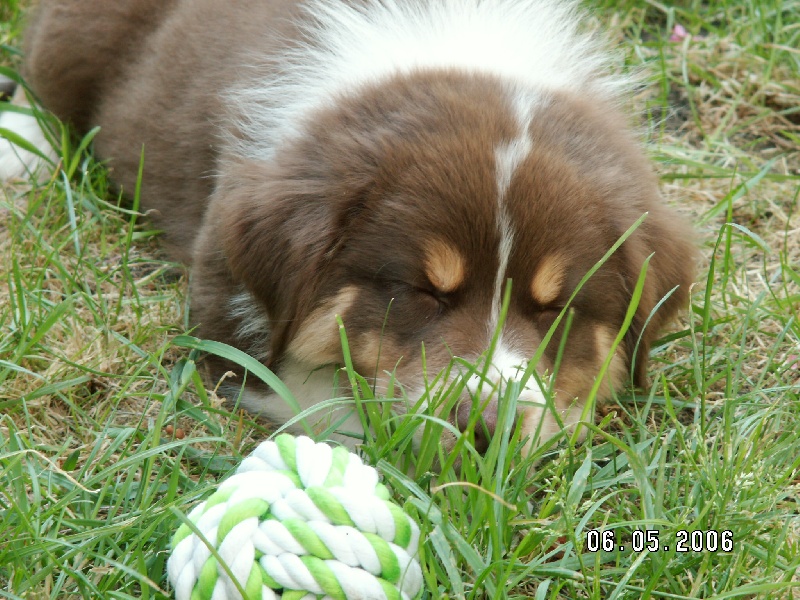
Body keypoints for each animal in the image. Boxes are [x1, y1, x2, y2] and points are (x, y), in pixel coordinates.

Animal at [4, 0, 692, 450]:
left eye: (556, 309)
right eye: (422, 291)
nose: (483, 428)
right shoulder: (226, 315)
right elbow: (327, 398)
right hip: (78, 35)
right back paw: (22, 150)